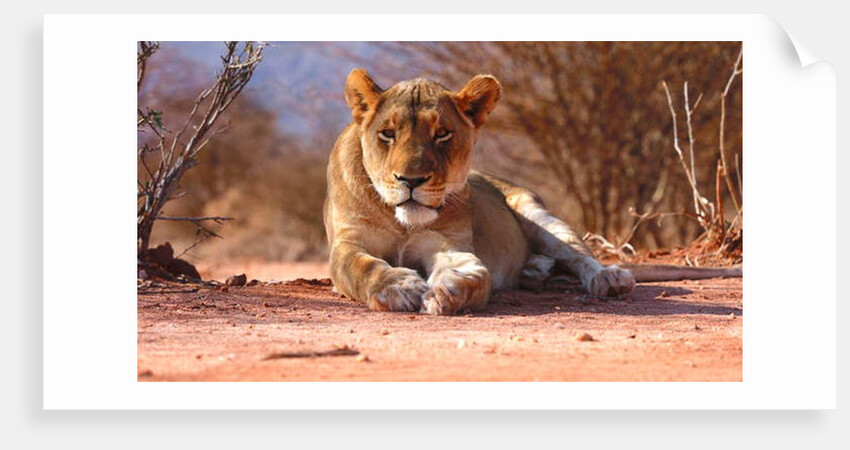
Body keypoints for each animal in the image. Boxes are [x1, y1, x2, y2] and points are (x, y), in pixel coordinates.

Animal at [324, 69, 740, 315]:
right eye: (387, 134)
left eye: (442, 134)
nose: (411, 180)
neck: (403, 222)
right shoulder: (347, 243)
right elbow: (364, 267)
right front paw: (400, 286)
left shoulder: (450, 244)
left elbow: (474, 272)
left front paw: (447, 290)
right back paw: (535, 271)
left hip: (538, 214)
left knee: (580, 256)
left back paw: (607, 278)